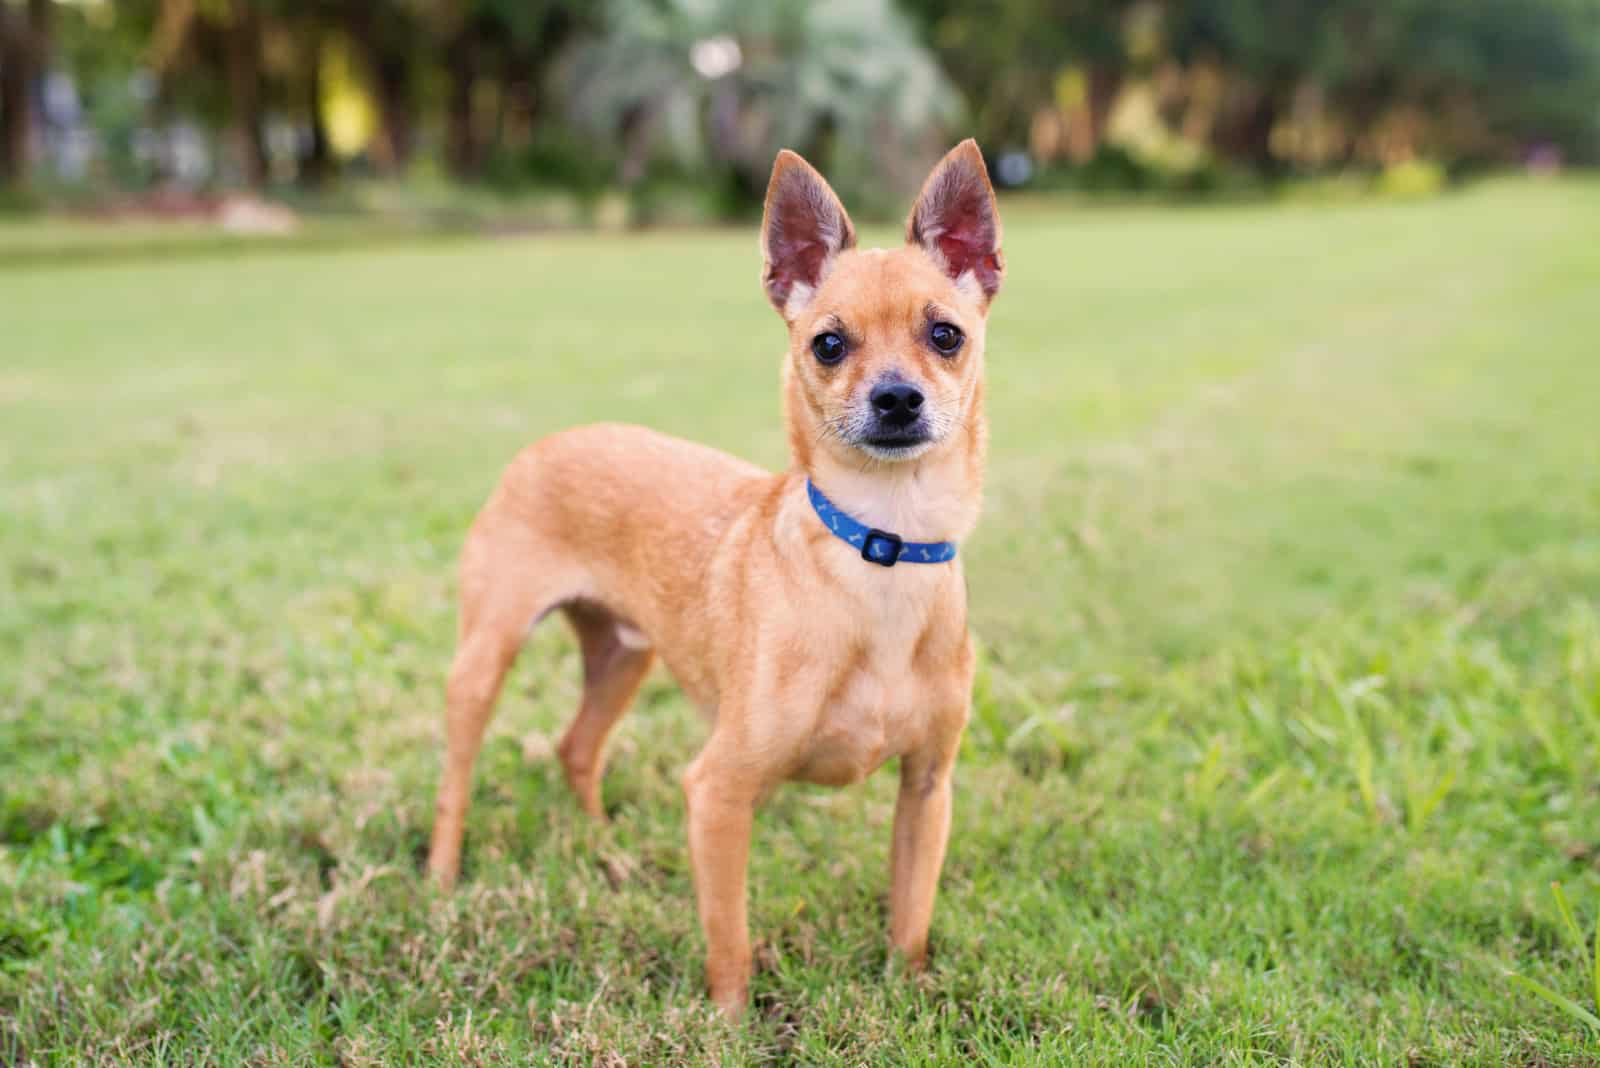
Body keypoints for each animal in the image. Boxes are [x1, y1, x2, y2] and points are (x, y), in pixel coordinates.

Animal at [425, 141, 998, 1016]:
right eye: (828, 345)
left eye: (946, 335)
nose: (897, 398)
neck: (883, 547)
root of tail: (551, 441)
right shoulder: (719, 794)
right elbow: (731, 943)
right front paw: (729, 1025)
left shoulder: (927, 790)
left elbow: (910, 917)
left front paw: (905, 997)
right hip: (488, 655)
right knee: (458, 770)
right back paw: (442, 875)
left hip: (623, 657)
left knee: (576, 746)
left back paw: (605, 848)